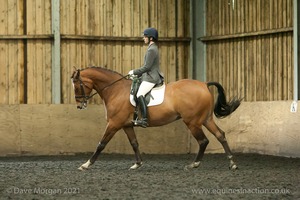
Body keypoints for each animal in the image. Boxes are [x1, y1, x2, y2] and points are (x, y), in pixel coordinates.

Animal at [70, 67, 241, 170]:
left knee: (203, 141)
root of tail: (204, 84)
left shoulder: (114, 124)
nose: (79, 106)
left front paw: (86, 164)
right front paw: (137, 164)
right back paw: (232, 163)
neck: (115, 90)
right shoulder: (126, 125)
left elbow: (101, 144)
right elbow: (134, 143)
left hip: (192, 122)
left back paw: (194, 164)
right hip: (205, 119)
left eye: (77, 86)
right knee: (220, 135)